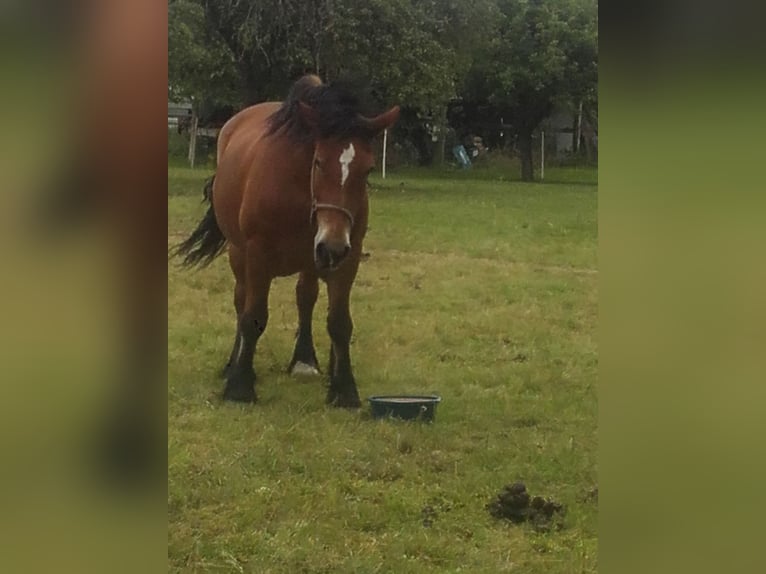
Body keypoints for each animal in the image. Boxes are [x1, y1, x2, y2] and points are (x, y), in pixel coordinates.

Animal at [175, 76, 402, 408]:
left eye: (368, 169)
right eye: (318, 162)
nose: (333, 246)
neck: (299, 192)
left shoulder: (347, 256)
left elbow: (339, 322)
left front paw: (344, 389)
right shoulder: (258, 253)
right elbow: (253, 316)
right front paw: (240, 386)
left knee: (305, 296)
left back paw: (305, 360)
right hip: (240, 253)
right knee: (241, 300)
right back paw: (234, 364)